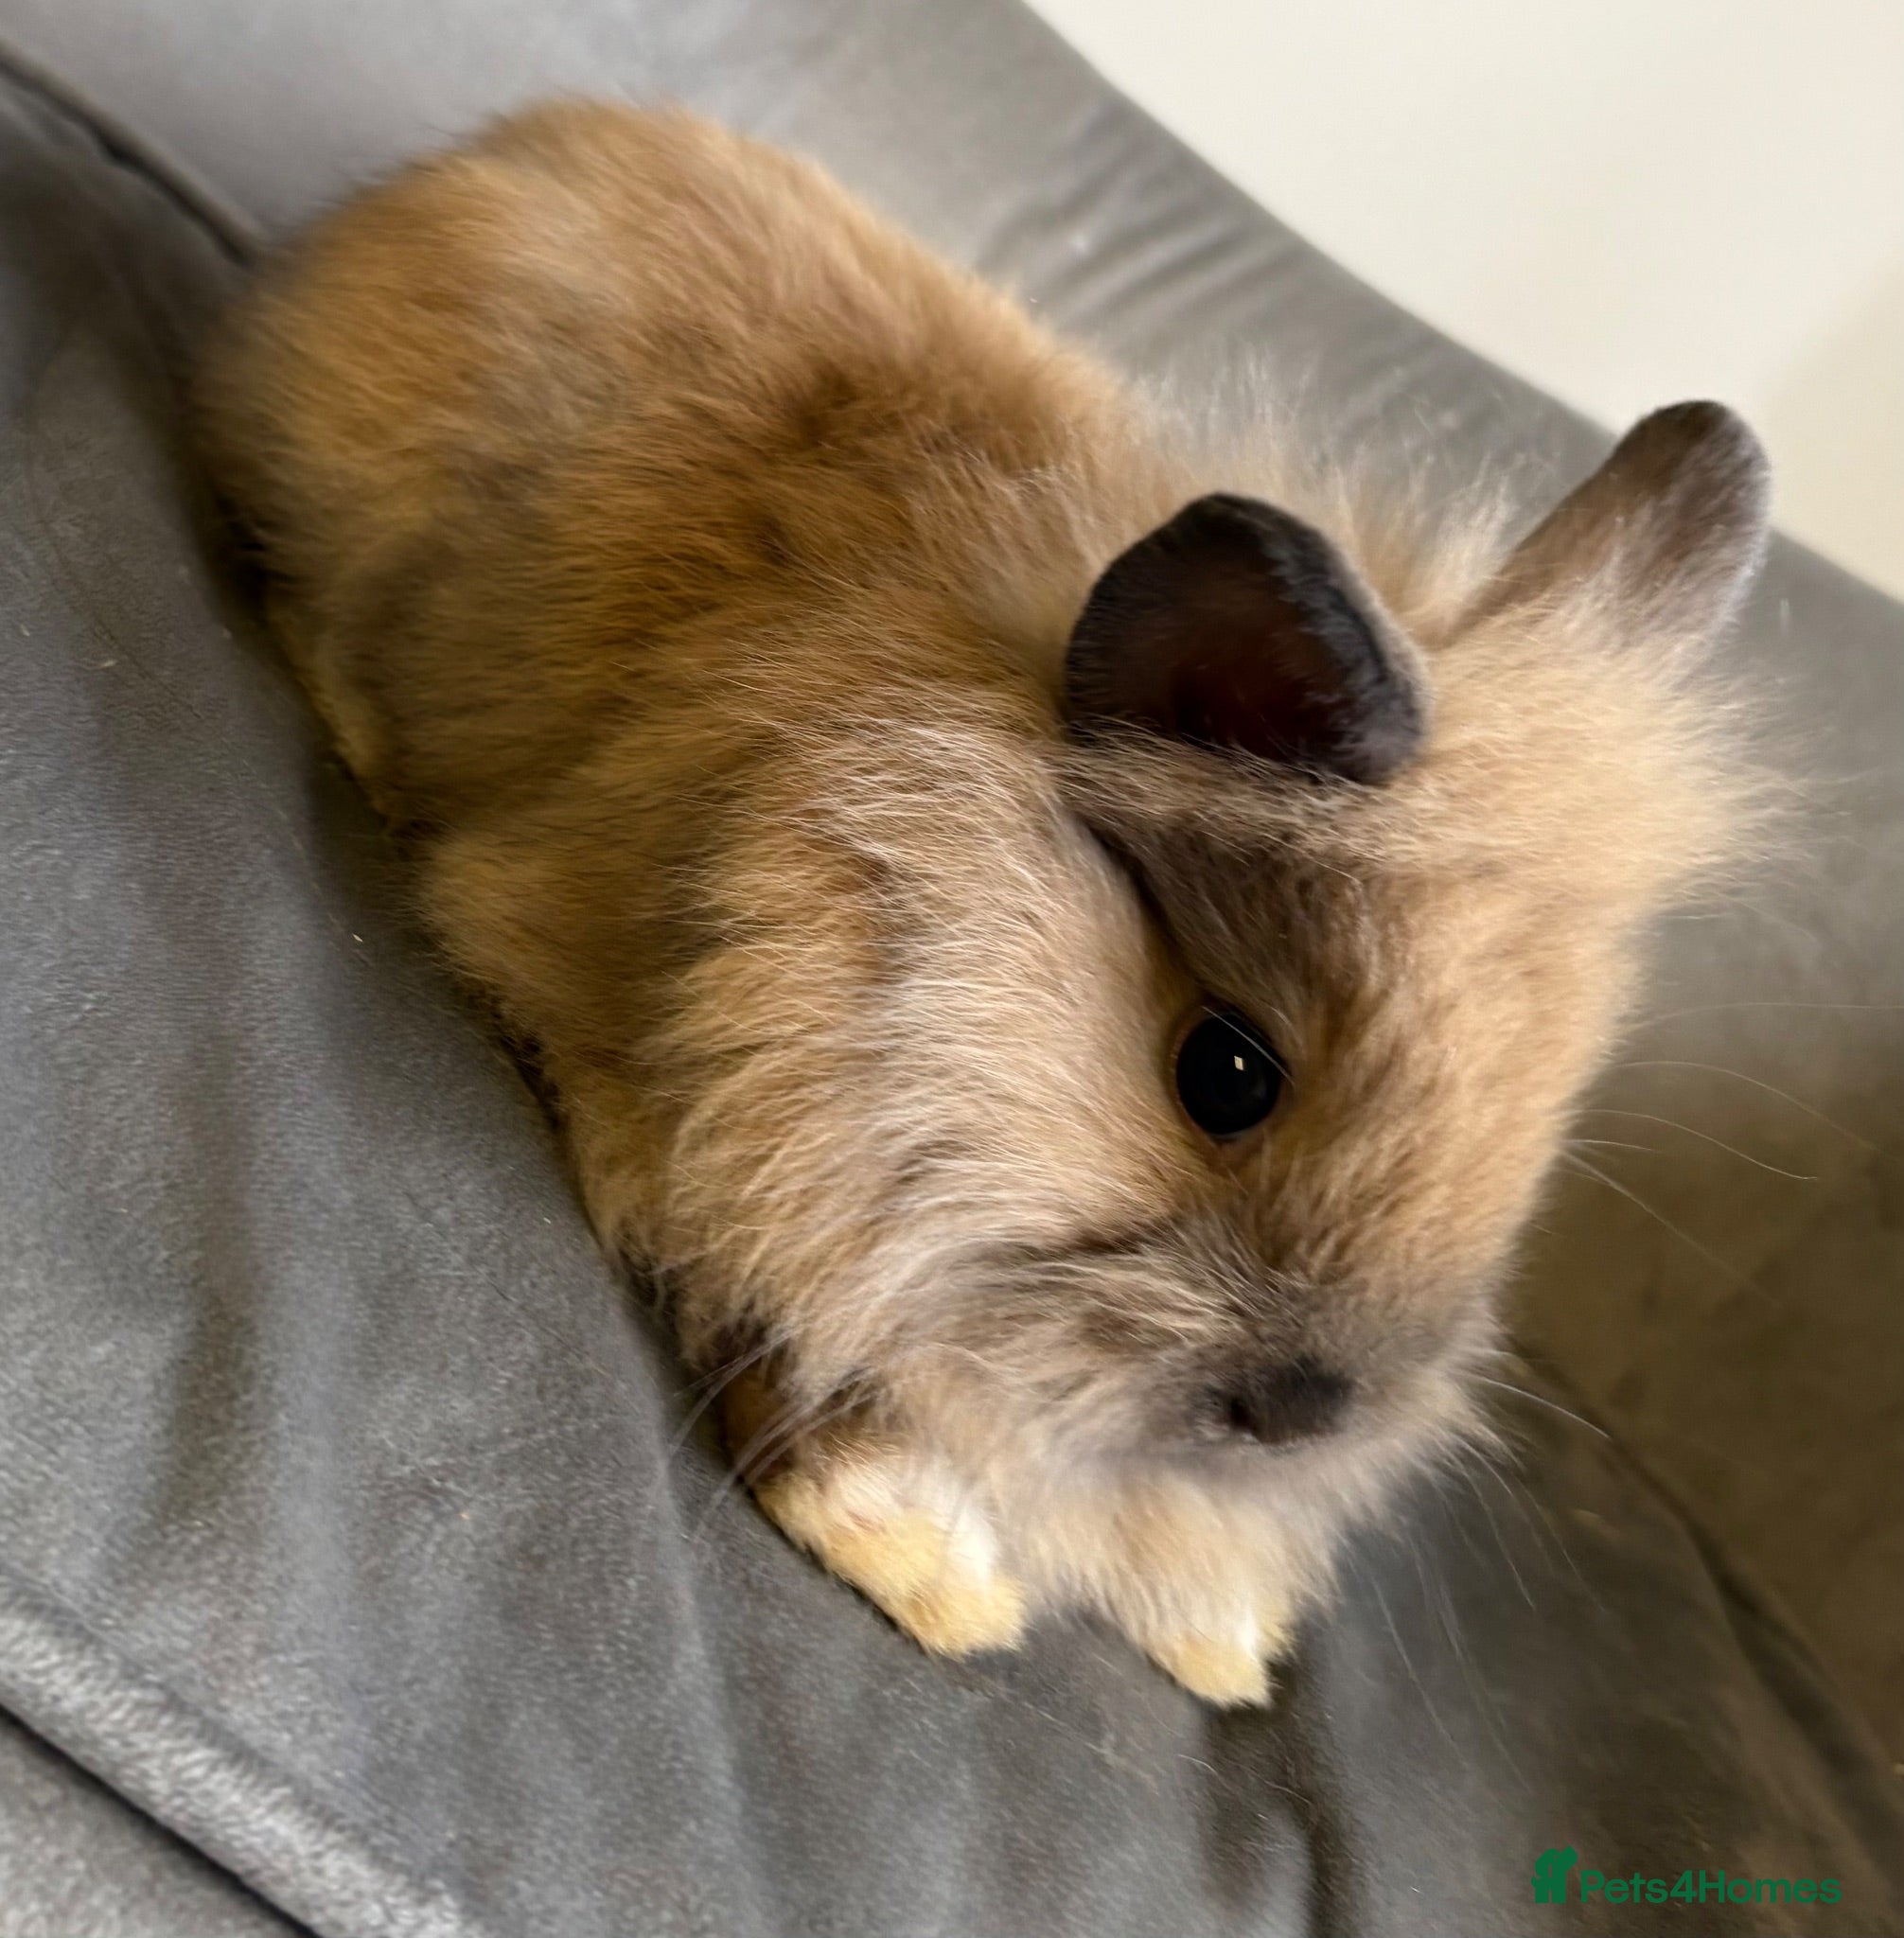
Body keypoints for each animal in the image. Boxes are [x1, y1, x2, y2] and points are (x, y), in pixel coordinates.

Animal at [195, 100, 1770, 1705]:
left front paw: (1216, 1643)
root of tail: (508, 144)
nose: (1302, 1413)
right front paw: (942, 1582)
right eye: (1227, 1074)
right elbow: (790, 1364)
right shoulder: (679, 1110)